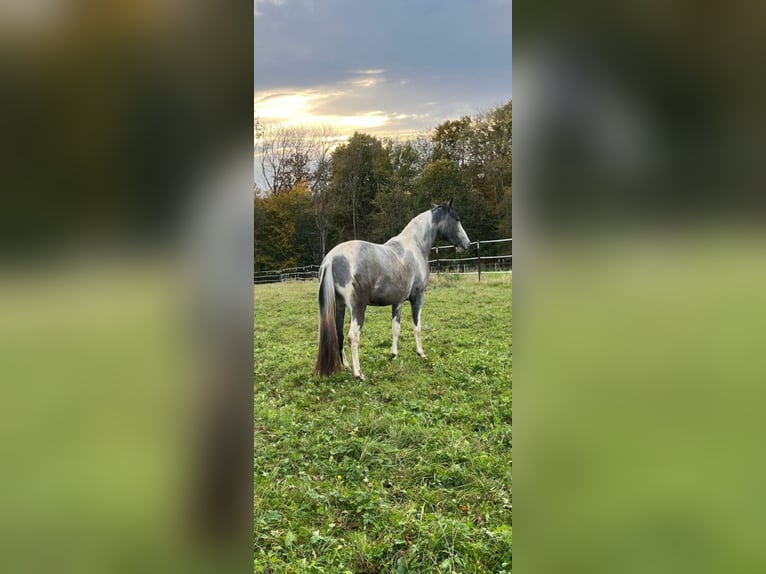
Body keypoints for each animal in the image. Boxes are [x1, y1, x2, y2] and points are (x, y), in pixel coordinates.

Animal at [316, 200, 472, 380]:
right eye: (456, 218)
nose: (467, 243)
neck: (415, 245)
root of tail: (331, 258)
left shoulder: (397, 302)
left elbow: (395, 328)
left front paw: (393, 354)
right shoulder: (418, 297)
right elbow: (417, 326)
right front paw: (421, 353)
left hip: (339, 306)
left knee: (339, 334)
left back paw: (346, 366)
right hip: (357, 308)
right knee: (352, 337)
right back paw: (358, 373)